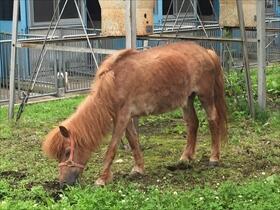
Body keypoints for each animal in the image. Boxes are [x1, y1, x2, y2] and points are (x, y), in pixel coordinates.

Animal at [43, 41, 228, 186]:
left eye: (67, 152)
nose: (63, 184)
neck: (114, 82)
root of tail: (206, 52)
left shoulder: (122, 117)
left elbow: (112, 148)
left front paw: (102, 179)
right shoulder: (126, 118)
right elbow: (133, 141)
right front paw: (138, 169)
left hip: (205, 96)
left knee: (213, 120)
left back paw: (214, 158)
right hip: (187, 99)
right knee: (192, 123)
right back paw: (185, 158)